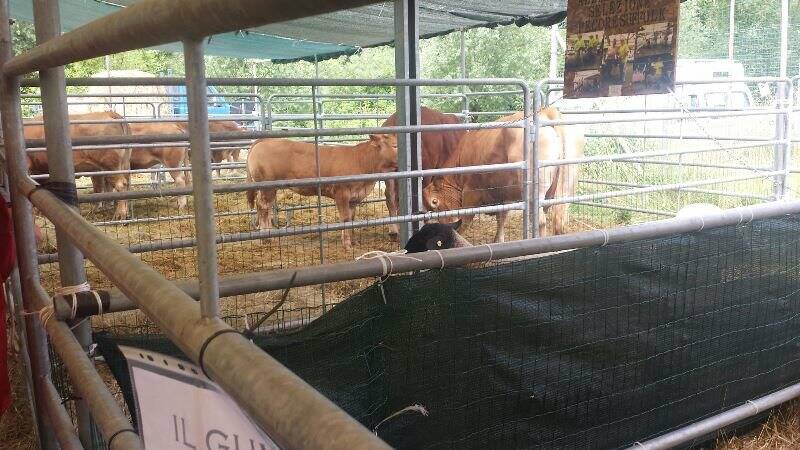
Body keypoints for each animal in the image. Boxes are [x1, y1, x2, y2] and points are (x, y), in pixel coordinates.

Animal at [245, 135, 398, 251]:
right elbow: (345, 219)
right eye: (395, 145)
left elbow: (351, 219)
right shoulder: (341, 194)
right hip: (267, 187)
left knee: (266, 208)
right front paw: (347, 245)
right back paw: (266, 238)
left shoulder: (354, 198)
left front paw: (353, 241)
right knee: (263, 207)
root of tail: (265, 140)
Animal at [422, 108, 584, 243]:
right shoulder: (505, 193)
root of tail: (548, 111)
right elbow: (502, 217)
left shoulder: (471, 191)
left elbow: (467, 218)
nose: (445, 226)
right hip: (565, 186)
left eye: (434, 202)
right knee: (560, 220)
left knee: (541, 220)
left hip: (535, 189)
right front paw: (498, 240)